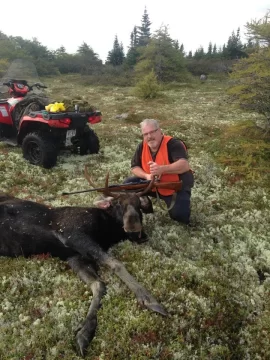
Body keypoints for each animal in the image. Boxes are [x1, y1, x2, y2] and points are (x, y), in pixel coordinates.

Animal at [0, 169, 167, 358]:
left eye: (139, 205)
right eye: (118, 203)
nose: (133, 225)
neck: (106, 231)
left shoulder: (74, 256)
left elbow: (98, 284)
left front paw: (85, 333)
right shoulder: (73, 234)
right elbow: (116, 264)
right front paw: (150, 300)